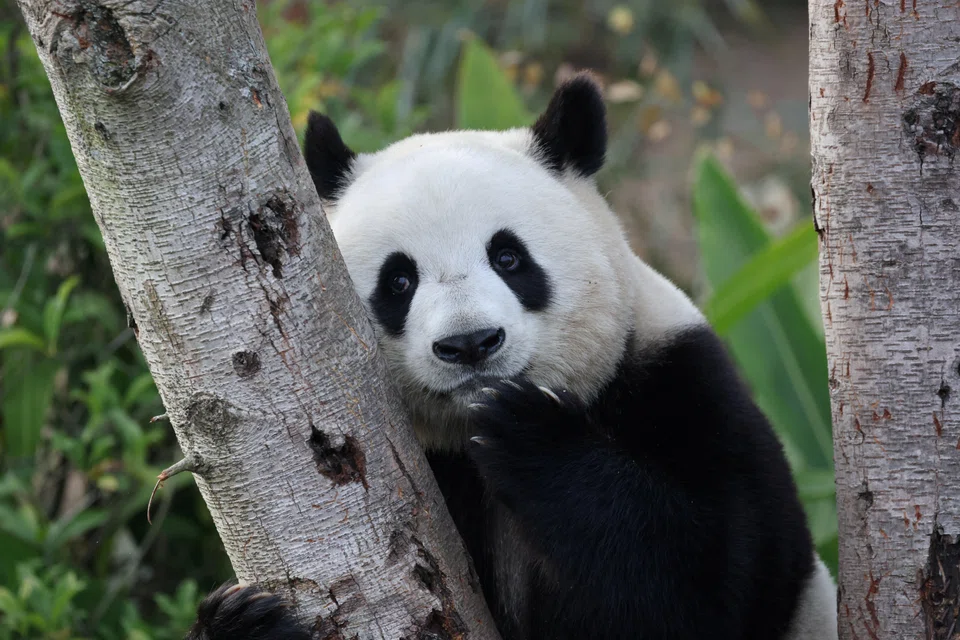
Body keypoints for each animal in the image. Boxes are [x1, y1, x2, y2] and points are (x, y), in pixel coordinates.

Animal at [186, 73, 838, 640]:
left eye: (508, 257)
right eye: (398, 281)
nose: (470, 344)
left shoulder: (682, 383)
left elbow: (718, 578)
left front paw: (528, 433)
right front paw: (242, 621)